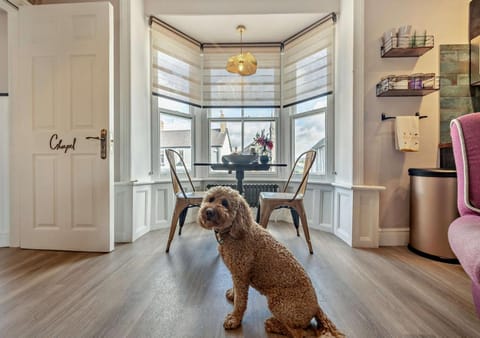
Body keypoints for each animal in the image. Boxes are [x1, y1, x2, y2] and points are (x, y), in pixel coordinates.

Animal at [197, 186, 344, 336]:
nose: (208, 211)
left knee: (301, 333)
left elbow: (241, 302)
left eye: (225, 203)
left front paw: (234, 319)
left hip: (279, 304)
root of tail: (316, 307)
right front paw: (233, 294)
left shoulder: (241, 274)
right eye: (210, 199)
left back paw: (273, 324)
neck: (234, 231)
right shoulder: (237, 272)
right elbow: (236, 291)